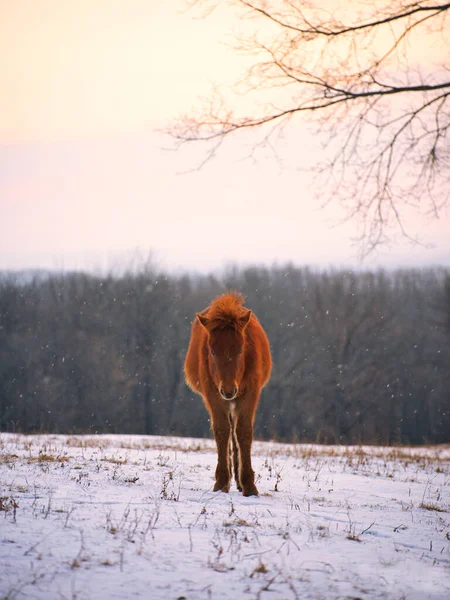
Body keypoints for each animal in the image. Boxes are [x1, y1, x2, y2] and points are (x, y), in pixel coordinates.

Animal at [184, 292, 270, 496]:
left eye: (240, 350)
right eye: (213, 352)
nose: (229, 390)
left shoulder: (250, 394)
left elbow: (243, 432)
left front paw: (249, 485)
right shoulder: (213, 395)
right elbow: (222, 431)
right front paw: (222, 481)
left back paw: (238, 481)